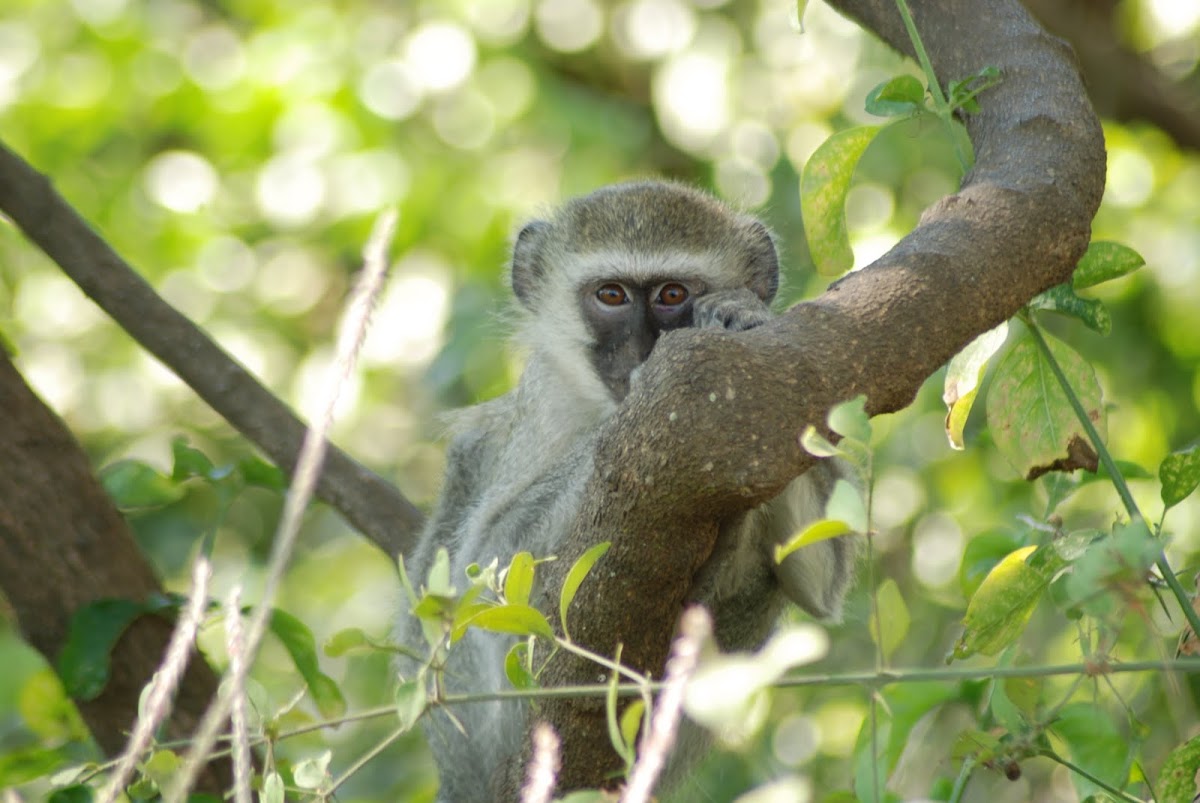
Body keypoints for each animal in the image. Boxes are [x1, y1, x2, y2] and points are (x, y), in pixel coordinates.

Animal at [408, 178, 859, 796]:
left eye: (672, 294)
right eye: (612, 295)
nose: (641, 348)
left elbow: (817, 581)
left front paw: (745, 317)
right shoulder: (532, 417)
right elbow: (489, 566)